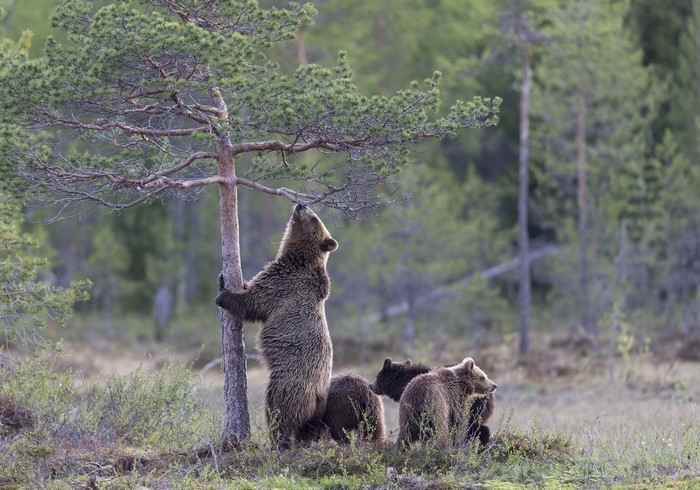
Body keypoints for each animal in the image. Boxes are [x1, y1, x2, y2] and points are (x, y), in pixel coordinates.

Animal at [215, 203, 338, 447]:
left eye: (314, 218)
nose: (301, 204)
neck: (297, 259)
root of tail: (319, 395)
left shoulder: (282, 284)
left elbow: (254, 302)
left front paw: (224, 292)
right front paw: (227, 279)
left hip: (288, 382)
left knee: (279, 410)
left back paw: (278, 440)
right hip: (315, 411)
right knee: (308, 427)